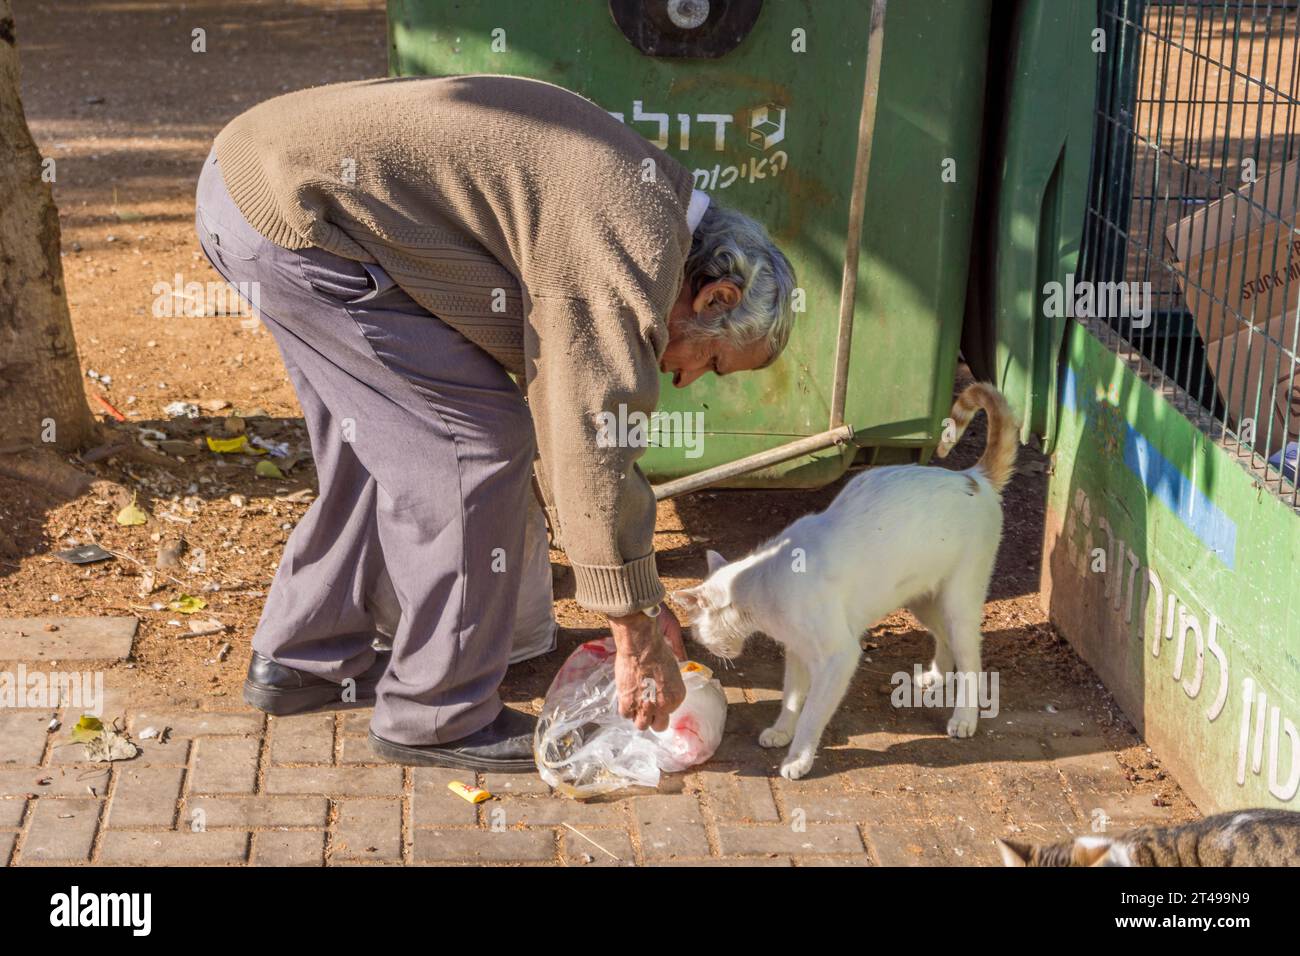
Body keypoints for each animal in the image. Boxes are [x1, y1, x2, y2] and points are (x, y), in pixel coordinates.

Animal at [676, 385, 1019, 780]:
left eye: (697, 631)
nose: (705, 647)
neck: (764, 586)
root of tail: (973, 476)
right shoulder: (798, 651)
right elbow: (791, 699)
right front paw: (781, 731)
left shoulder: (839, 656)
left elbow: (811, 714)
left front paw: (798, 758)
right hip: (923, 600)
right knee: (945, 642)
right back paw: (935, 677)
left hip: (957, 603)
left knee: (972, 661)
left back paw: (965, 718)